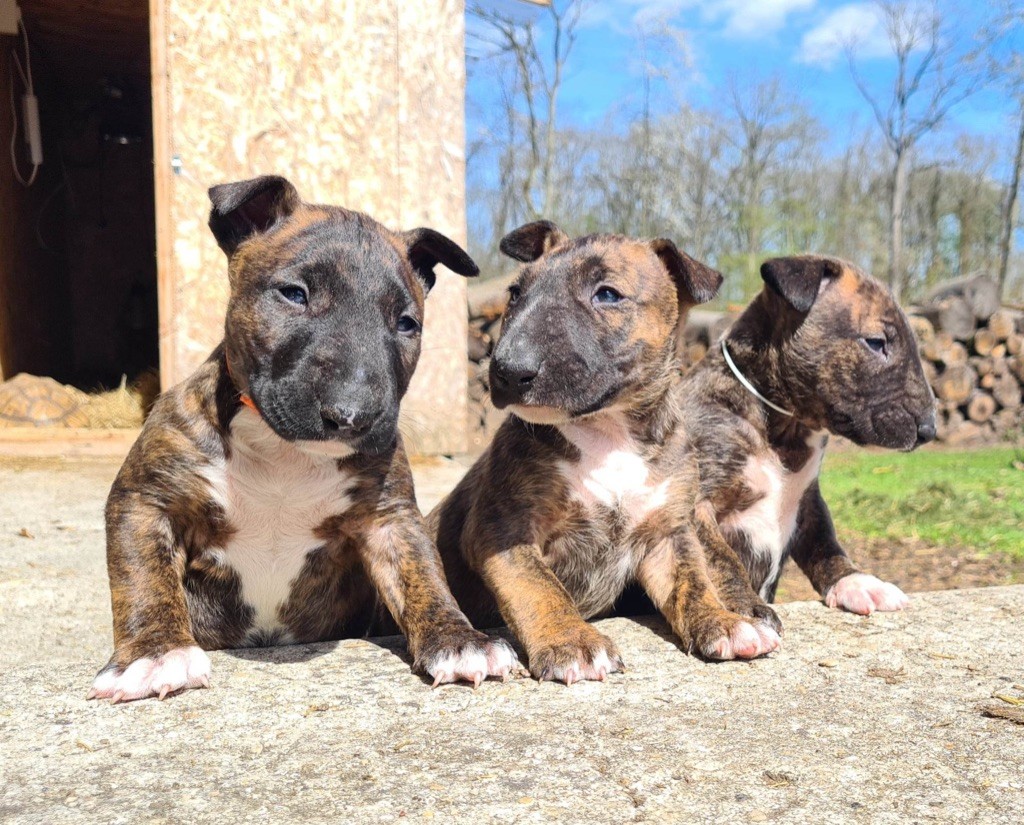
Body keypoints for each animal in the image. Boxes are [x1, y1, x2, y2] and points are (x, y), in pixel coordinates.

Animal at [91, 176, 516, 704]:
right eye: (294, 294)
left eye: (406, 323)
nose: (351, 415)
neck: (284, 454)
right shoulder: (144, 500)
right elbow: (143, 577)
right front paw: (155, 654)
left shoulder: (389, 517)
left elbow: (423, 575)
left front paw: (461, 641)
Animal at [428, 221, 778, 683]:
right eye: (515, 294)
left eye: (607, 294)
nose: (505, 370)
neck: (609, 432)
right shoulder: (501, 529)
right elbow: (538, 586)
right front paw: (572, 642)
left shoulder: (669, 535)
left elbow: (694, 580)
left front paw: (725, 622)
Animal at [679, 256, 937, 614]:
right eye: (875, 343)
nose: (929, 429)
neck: (785, 428)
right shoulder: (695, 502)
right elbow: (718, 559)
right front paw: (738, 610)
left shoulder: (810, 503)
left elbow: (827, 545)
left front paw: (857, 582)